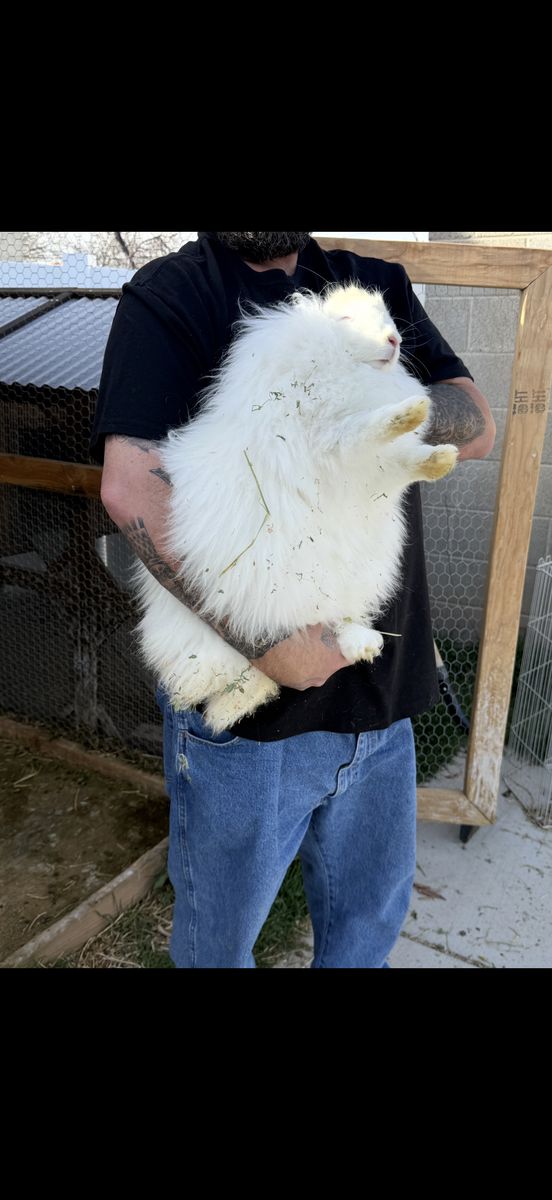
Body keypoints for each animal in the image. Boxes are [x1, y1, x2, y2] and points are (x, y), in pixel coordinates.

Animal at [133, 282, 458, 732]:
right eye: (346, 320)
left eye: (388, 317)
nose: (394, 340)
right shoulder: (332, 437)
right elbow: (364, 429)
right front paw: (409, 412)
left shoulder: (376, 469)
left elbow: (404, 462)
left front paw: (442, 458)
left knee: (335, 623)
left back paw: (365, 644)